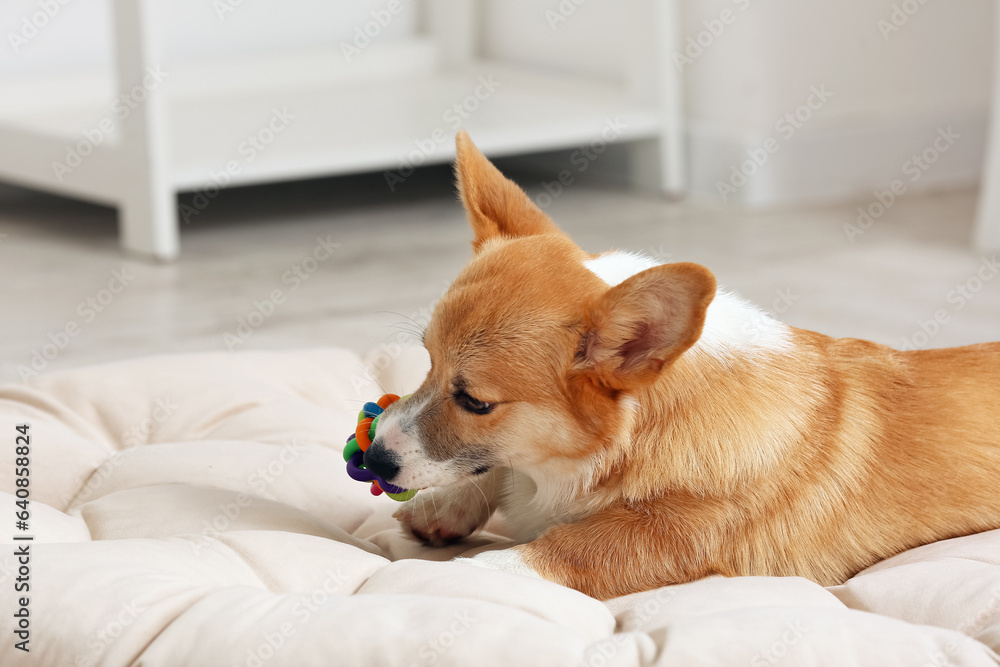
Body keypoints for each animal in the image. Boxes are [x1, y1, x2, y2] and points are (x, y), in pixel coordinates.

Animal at [364, 130, 1000, 600]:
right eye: (426, 361)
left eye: (475, 401)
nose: (372, 459)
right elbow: (494, 471)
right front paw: (441, 508)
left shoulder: (672, 540)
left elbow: (556, 550)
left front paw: (435, 575)